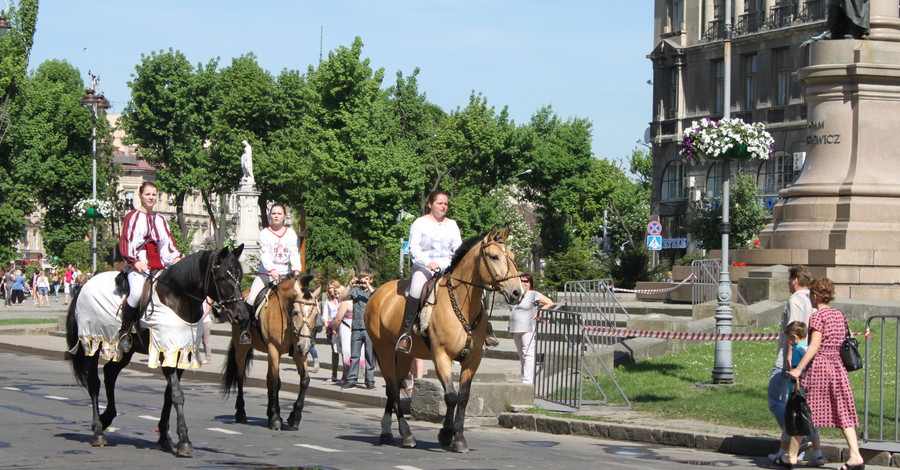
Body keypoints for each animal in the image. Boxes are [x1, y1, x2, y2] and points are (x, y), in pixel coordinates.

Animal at [65, 244, 251, 454]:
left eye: (240, 276)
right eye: (222, 278)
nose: (242, 316)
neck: (177, 299)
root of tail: (84, 286)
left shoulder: (179, 354)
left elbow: (169, 395)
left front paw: (164, 437)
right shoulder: (166, 351)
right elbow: (177, 395)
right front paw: (183, 439)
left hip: (126, 351)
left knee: (110, 373)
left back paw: (107, 417)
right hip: (92, 343)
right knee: (94, 383)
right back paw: (98, 431)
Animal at [223, 274, 322, 432]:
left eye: (316, 314)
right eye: (296, 312)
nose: (306, 346)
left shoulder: (298, 352)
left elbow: (305, 380)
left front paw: (294, 416)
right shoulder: (274, 348)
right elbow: (275, 382)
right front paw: (276, 419)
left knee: (268, 378)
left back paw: (269, 414)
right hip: (241, 349)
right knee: (240, 377)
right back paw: (241, 413)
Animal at [364, 226, 524, 454]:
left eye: (512, 256)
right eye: (494, 256)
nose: (518, 292)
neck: (462, 305)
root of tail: (378, 292)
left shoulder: (472, 360)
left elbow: (463, 398)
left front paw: (459, 438)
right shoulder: (441, 356)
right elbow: (450, 396)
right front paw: (447, 434)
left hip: (403, 356)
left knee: (392, 388)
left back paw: (388, 433)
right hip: (384, 350)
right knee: (393, 389)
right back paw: (406, 435)